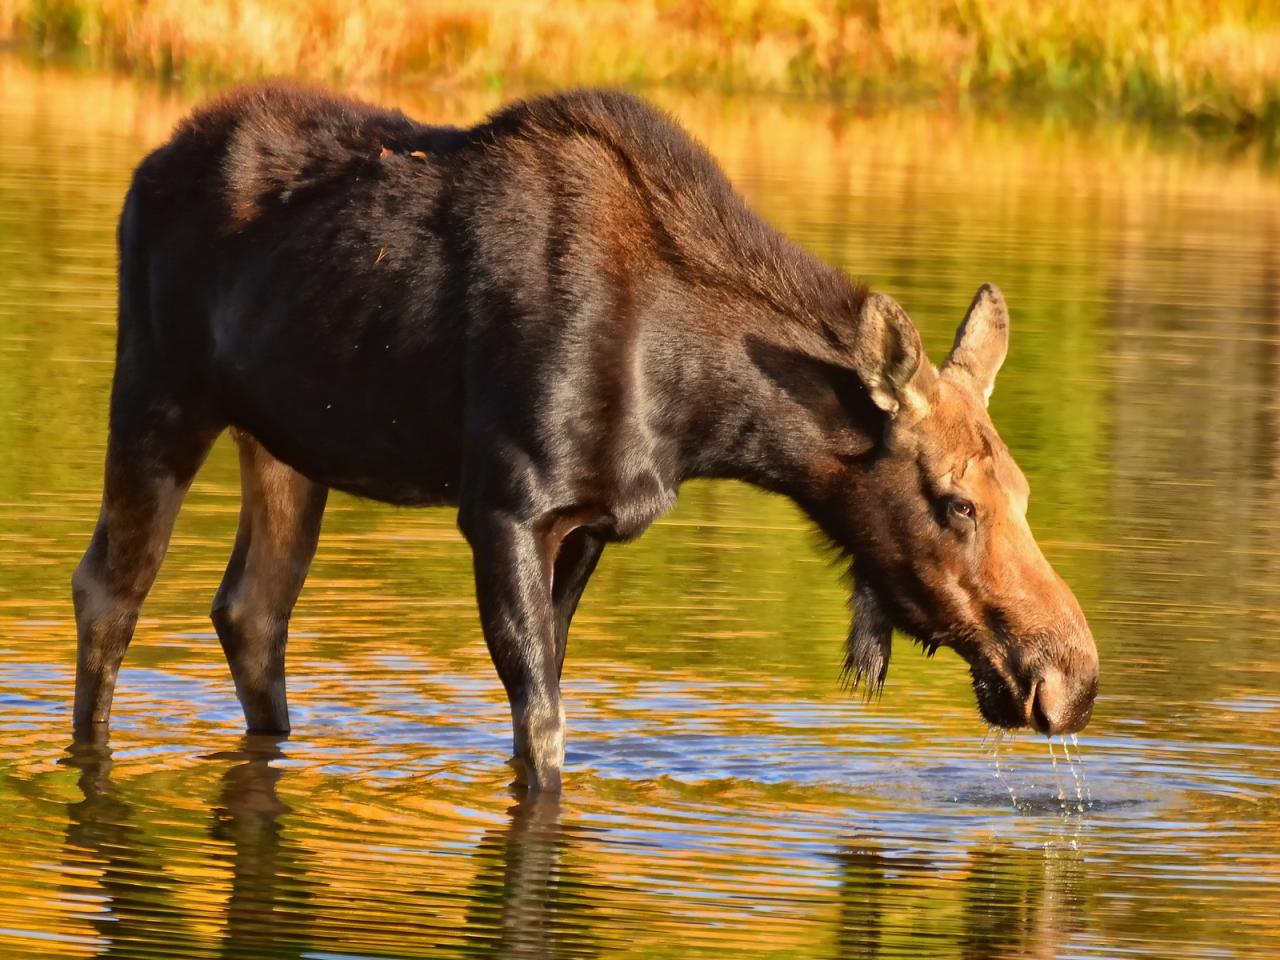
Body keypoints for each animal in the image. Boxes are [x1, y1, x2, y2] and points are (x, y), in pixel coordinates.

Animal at [70, 84, 1095, 788]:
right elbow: (544, 733)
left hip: (285, 443)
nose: (1072, 681)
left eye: (1026, 494)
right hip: (159, 391)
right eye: (956, 503)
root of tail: (143, 172)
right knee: (110, 590)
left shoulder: (593, 522)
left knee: (251, 610)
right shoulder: (507, 506)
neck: (700, 407)